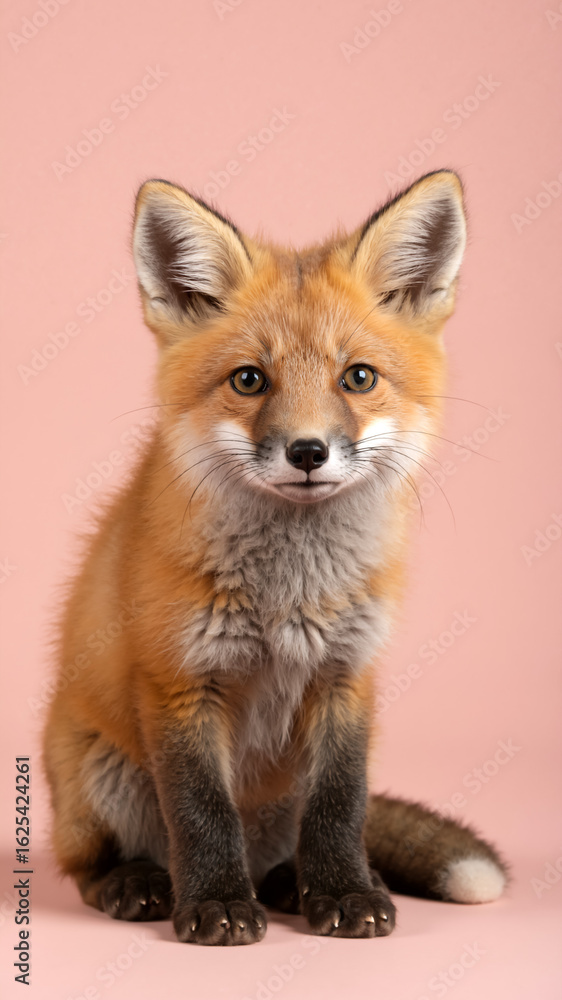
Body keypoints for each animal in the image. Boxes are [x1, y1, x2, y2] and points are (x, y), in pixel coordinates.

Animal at [43, 170, 508, 946]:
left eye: (358, 378)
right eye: (249, 380)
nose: (308, 451)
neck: (289, 593)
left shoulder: (347, 675)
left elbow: (340, 807)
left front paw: (346, 892)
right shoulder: (179, 680)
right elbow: (202, 812)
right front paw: (215, 905)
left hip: (277, 798)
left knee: (300, 840)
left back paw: (295, 883)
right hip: (97, 773)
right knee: (91, 863)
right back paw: (140, 883)